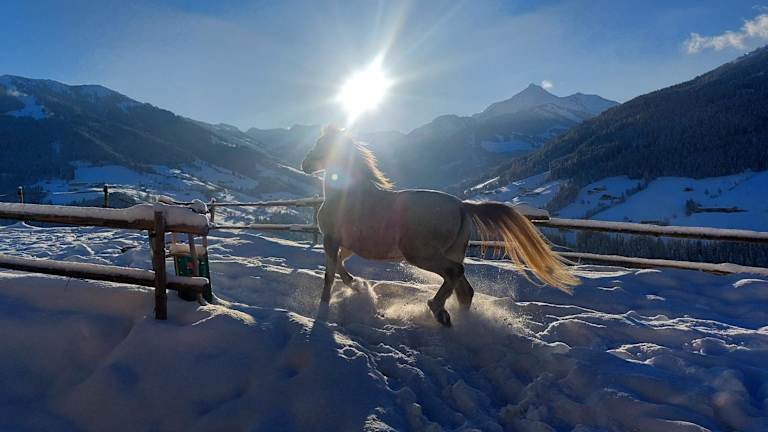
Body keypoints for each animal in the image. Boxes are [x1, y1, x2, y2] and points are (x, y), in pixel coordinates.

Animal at [301, 125, 578, 327]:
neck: (347, 194)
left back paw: (437, 309)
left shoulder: (331, 239)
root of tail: (461, 205)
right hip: (451, 252)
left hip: (421, 254)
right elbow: (339, 265)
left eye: (319, 144)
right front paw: (357, 285)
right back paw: (456, 319)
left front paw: (324, 306)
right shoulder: (347, 244)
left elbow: (330, 272)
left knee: (455, 274)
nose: (305, 164)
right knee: (465, 288)